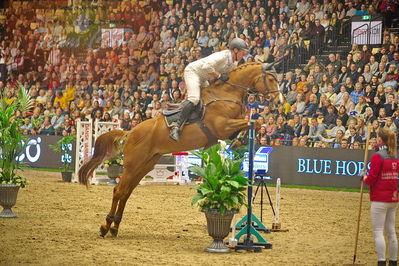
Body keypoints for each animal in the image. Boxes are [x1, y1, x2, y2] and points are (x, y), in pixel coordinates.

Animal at [79, 62, 282, 237]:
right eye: (271, 78)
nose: (279, 101)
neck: (227, 93)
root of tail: (131, 131)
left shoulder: (230, 129)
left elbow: (254, 123)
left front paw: (239, 142)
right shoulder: (223, 127)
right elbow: (252, 122)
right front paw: (239, 141)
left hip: (145, 165)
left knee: (126, 192)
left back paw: (114, 226)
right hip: (133, 165)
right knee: (119, 191)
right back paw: (106, 226)